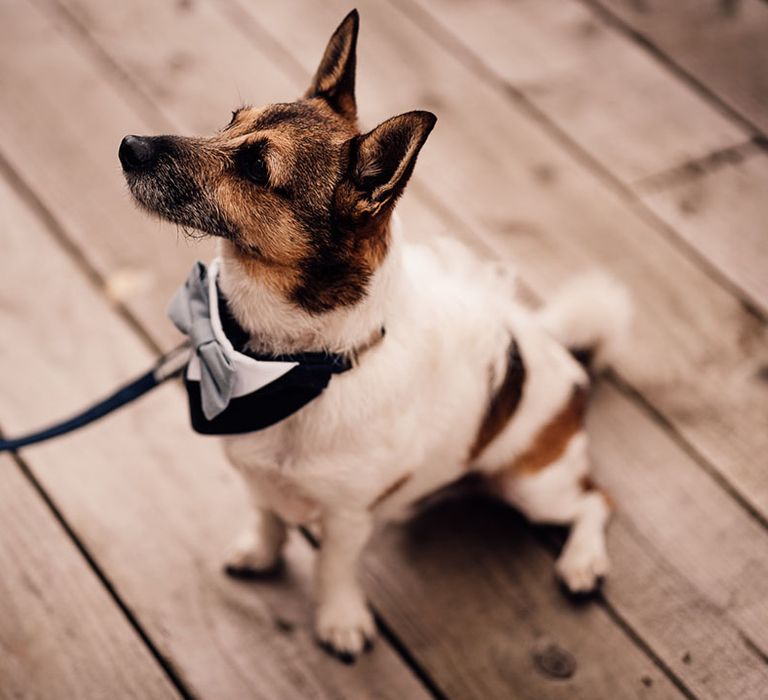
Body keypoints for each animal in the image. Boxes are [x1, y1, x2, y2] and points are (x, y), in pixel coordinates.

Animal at [118, 9, 632, 660]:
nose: (128, 146)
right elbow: (267, 516)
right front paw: (261, 552)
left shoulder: (347, 518)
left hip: (532, 483)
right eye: (231, 121)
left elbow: (333, 569)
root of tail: (549, 341)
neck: (291, 363)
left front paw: (340, 619)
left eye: (256, 167)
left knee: (596, 500)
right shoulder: (260, 479)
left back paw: (583, 562)